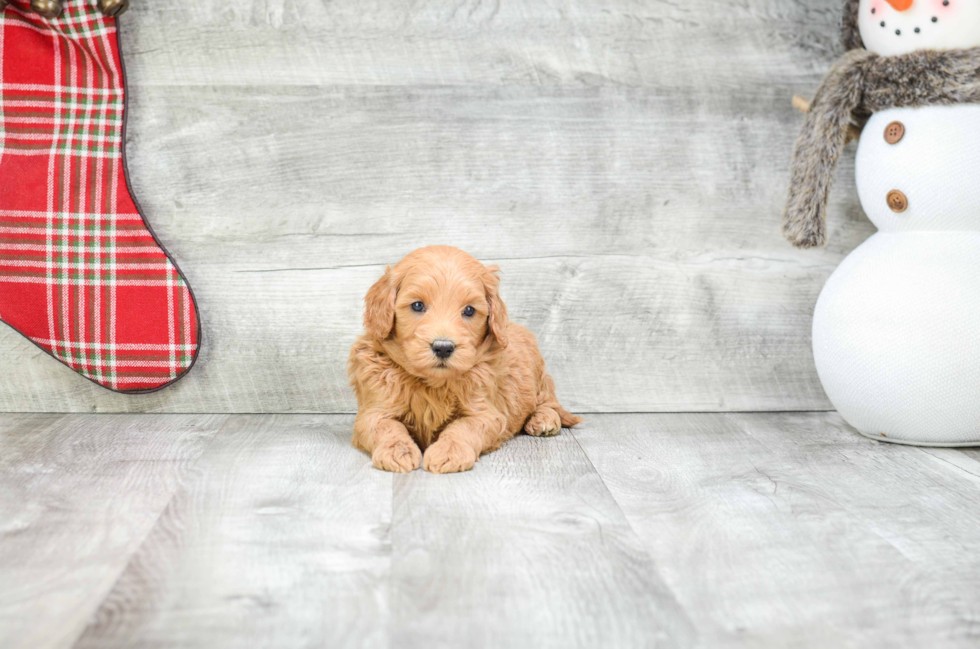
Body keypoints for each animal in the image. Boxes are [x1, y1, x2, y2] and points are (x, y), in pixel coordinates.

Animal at [348, 246, 580, 474]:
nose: (443, 347)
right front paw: (398, 451)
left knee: (548, 401)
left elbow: (463, 427)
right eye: (417, 306)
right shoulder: (373, 410)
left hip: (538, 373)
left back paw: (544, 419)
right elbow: (386, 426)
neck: (432, 384)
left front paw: (449, 452)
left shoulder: (486, 413)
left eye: (469, 310)